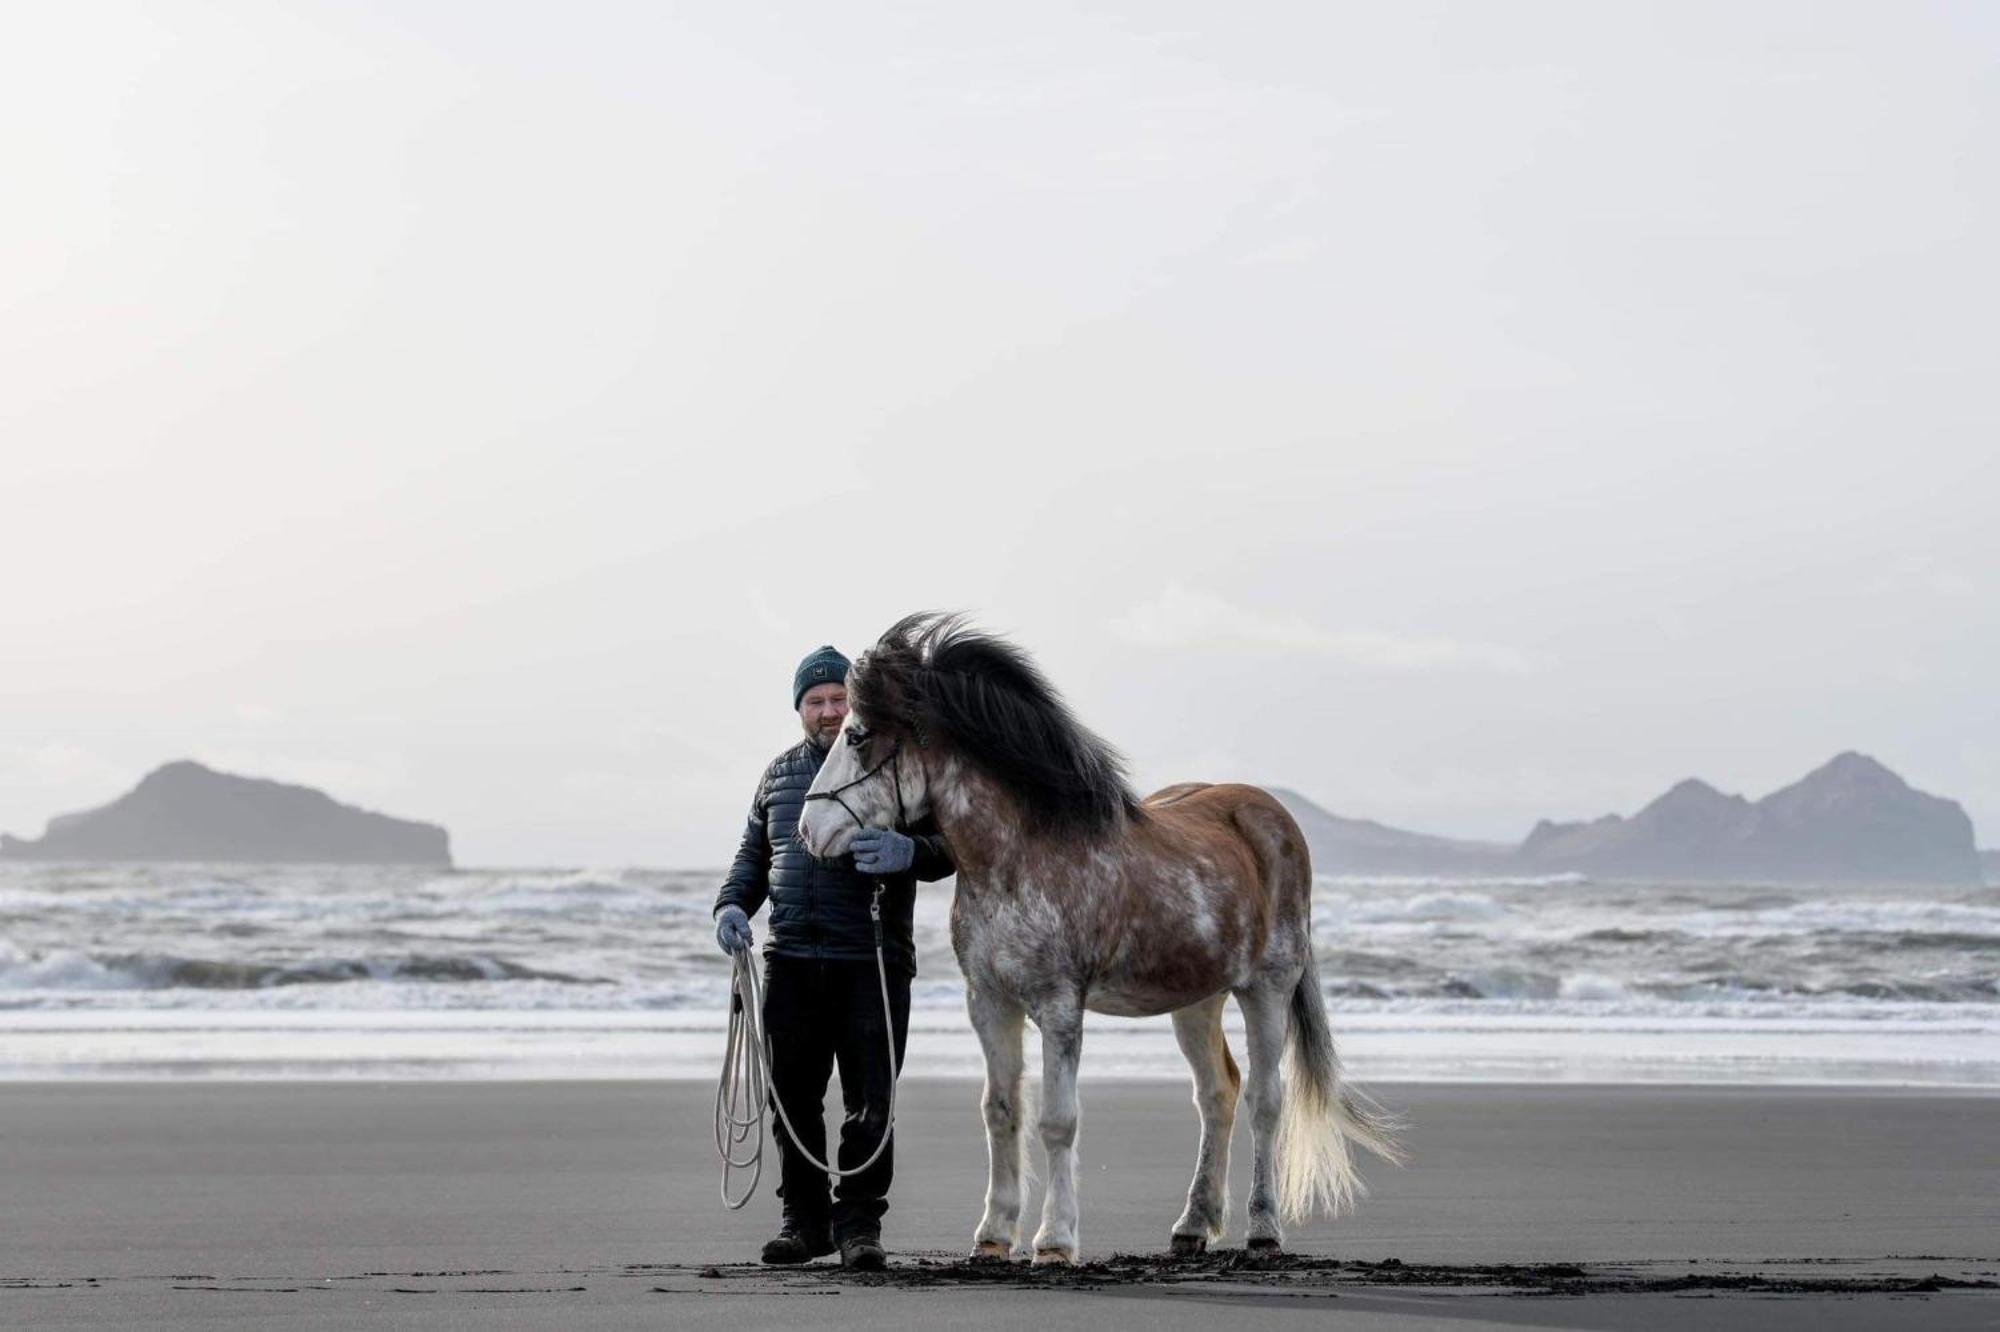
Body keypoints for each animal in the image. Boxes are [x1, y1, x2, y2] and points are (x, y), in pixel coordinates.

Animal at [788, 608, 1400, 1264]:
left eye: (856, 736)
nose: (808, 829)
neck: (1019, 856)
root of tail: (1272, 818)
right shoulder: (990, 1003)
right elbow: (1000, 1112)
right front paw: (993, 1235)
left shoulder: (1059, 1006)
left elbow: (1057, 1121)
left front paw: (1055, 1240)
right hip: (1197, 1001)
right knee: (1218, 1094)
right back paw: (1192, 1225)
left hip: (1267, 990)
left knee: (1265, 1099)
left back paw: (1263, 1229)